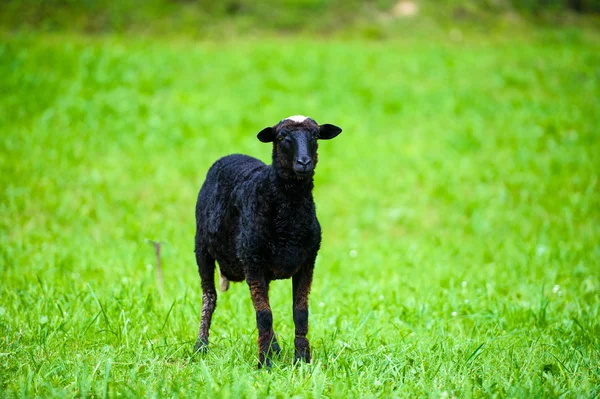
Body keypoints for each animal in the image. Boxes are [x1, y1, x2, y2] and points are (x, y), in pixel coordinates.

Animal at [193, 115, 342, 368]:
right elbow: (264, 315)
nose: (304, 162)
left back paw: (276, 348)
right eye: (282, 137)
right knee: (209, 297)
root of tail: (231, 156)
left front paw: (302, 359)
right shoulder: (252, 261)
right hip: (202, 248)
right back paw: (200, 346)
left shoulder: (307, 262)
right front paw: (265, 364)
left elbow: (299, 313)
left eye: (315, 136)